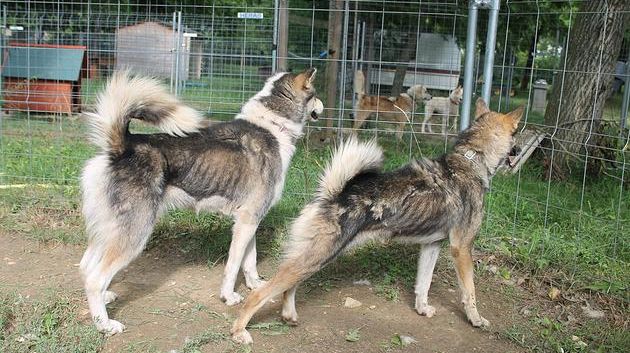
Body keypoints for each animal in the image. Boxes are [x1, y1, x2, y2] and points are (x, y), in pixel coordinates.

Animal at [79, 68, 324, 332]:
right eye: (315, 94)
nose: (323, 106)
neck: (272, 126)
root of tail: (123, 146)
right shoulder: (247, 221)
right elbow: (233, 266)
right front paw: (229, 297)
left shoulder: (249, 220)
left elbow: (250, 262)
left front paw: (255, 285)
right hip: (134, 234)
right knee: (95, 279)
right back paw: (105, 325)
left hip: (108, 230)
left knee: (86, 267)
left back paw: (105, 298)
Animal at [231, 97, 524, 342]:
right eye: (516, 133)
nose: (520, 149)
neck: (471, 159)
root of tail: (334, 193)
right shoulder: (461, 249)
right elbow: (469, 293)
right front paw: (476, 320)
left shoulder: (431, 246)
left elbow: (423, 285)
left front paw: (422, 309)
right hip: (319, 255)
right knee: (259, 293)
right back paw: (239, 331)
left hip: (314, 258)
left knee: (288, 287)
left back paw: (289, 315)